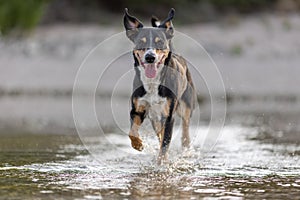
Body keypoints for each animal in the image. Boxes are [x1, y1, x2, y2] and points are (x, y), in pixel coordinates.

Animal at [123, 7, 196, 164]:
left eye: (160, 42)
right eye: (141, 42)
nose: (150, 57)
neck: (153, 83)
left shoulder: (169, 116)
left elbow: (165, 144)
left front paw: (161, 164)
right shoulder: (137, 109)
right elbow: (132, 132)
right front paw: (138, 144)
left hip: (186, 105)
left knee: (185, 128)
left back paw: (186, 149)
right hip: (155, 118)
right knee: (160, 134)